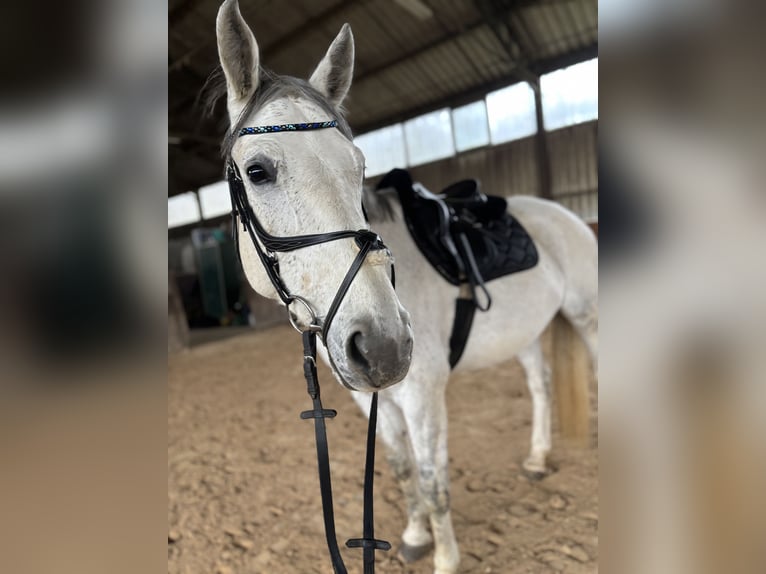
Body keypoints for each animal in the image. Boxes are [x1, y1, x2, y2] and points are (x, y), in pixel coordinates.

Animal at [213, 2, 598, 573]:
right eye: (257, 171)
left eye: (359, 167)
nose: (384, 346)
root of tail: (566, 216)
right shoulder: (376, 401)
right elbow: (399, 469)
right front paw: (416, 536)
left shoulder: (422, 396)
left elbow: (435, 481)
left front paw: (445, 558)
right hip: (525, 334)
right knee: (542, 386)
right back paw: (536, 458)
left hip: (587, 316)